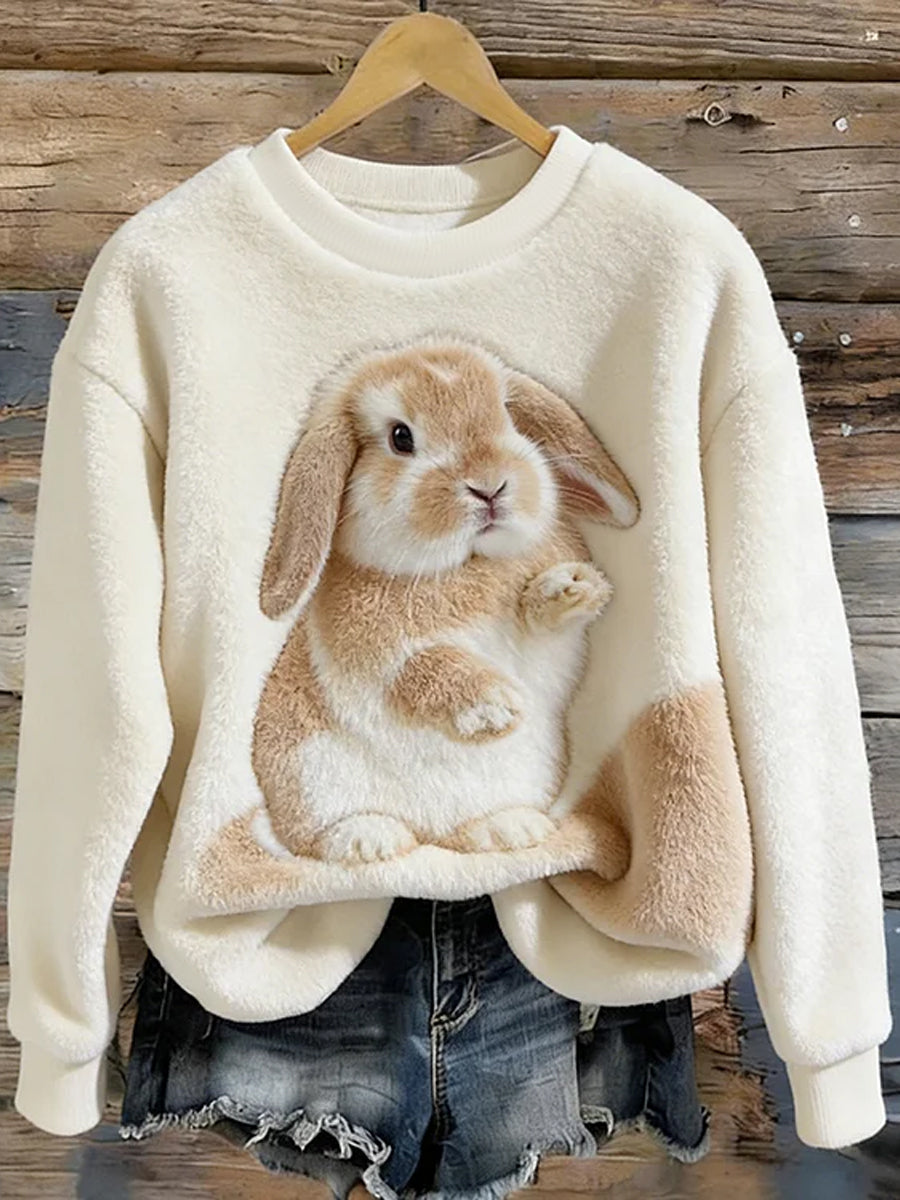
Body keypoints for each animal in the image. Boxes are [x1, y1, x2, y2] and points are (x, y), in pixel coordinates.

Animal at [248, 332, 640, 866]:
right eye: (401, 438)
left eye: (507, 416)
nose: (490, 486)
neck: (465, 565)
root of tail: (426, 833)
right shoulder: (372, 653)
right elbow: (421, 666)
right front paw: (495, 707)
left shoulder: (551, 653)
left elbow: (542, 629)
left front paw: (572, 589)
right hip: (311, 774)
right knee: (320, 833)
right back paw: (368, 840)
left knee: (467, 829)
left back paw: (508, 830)